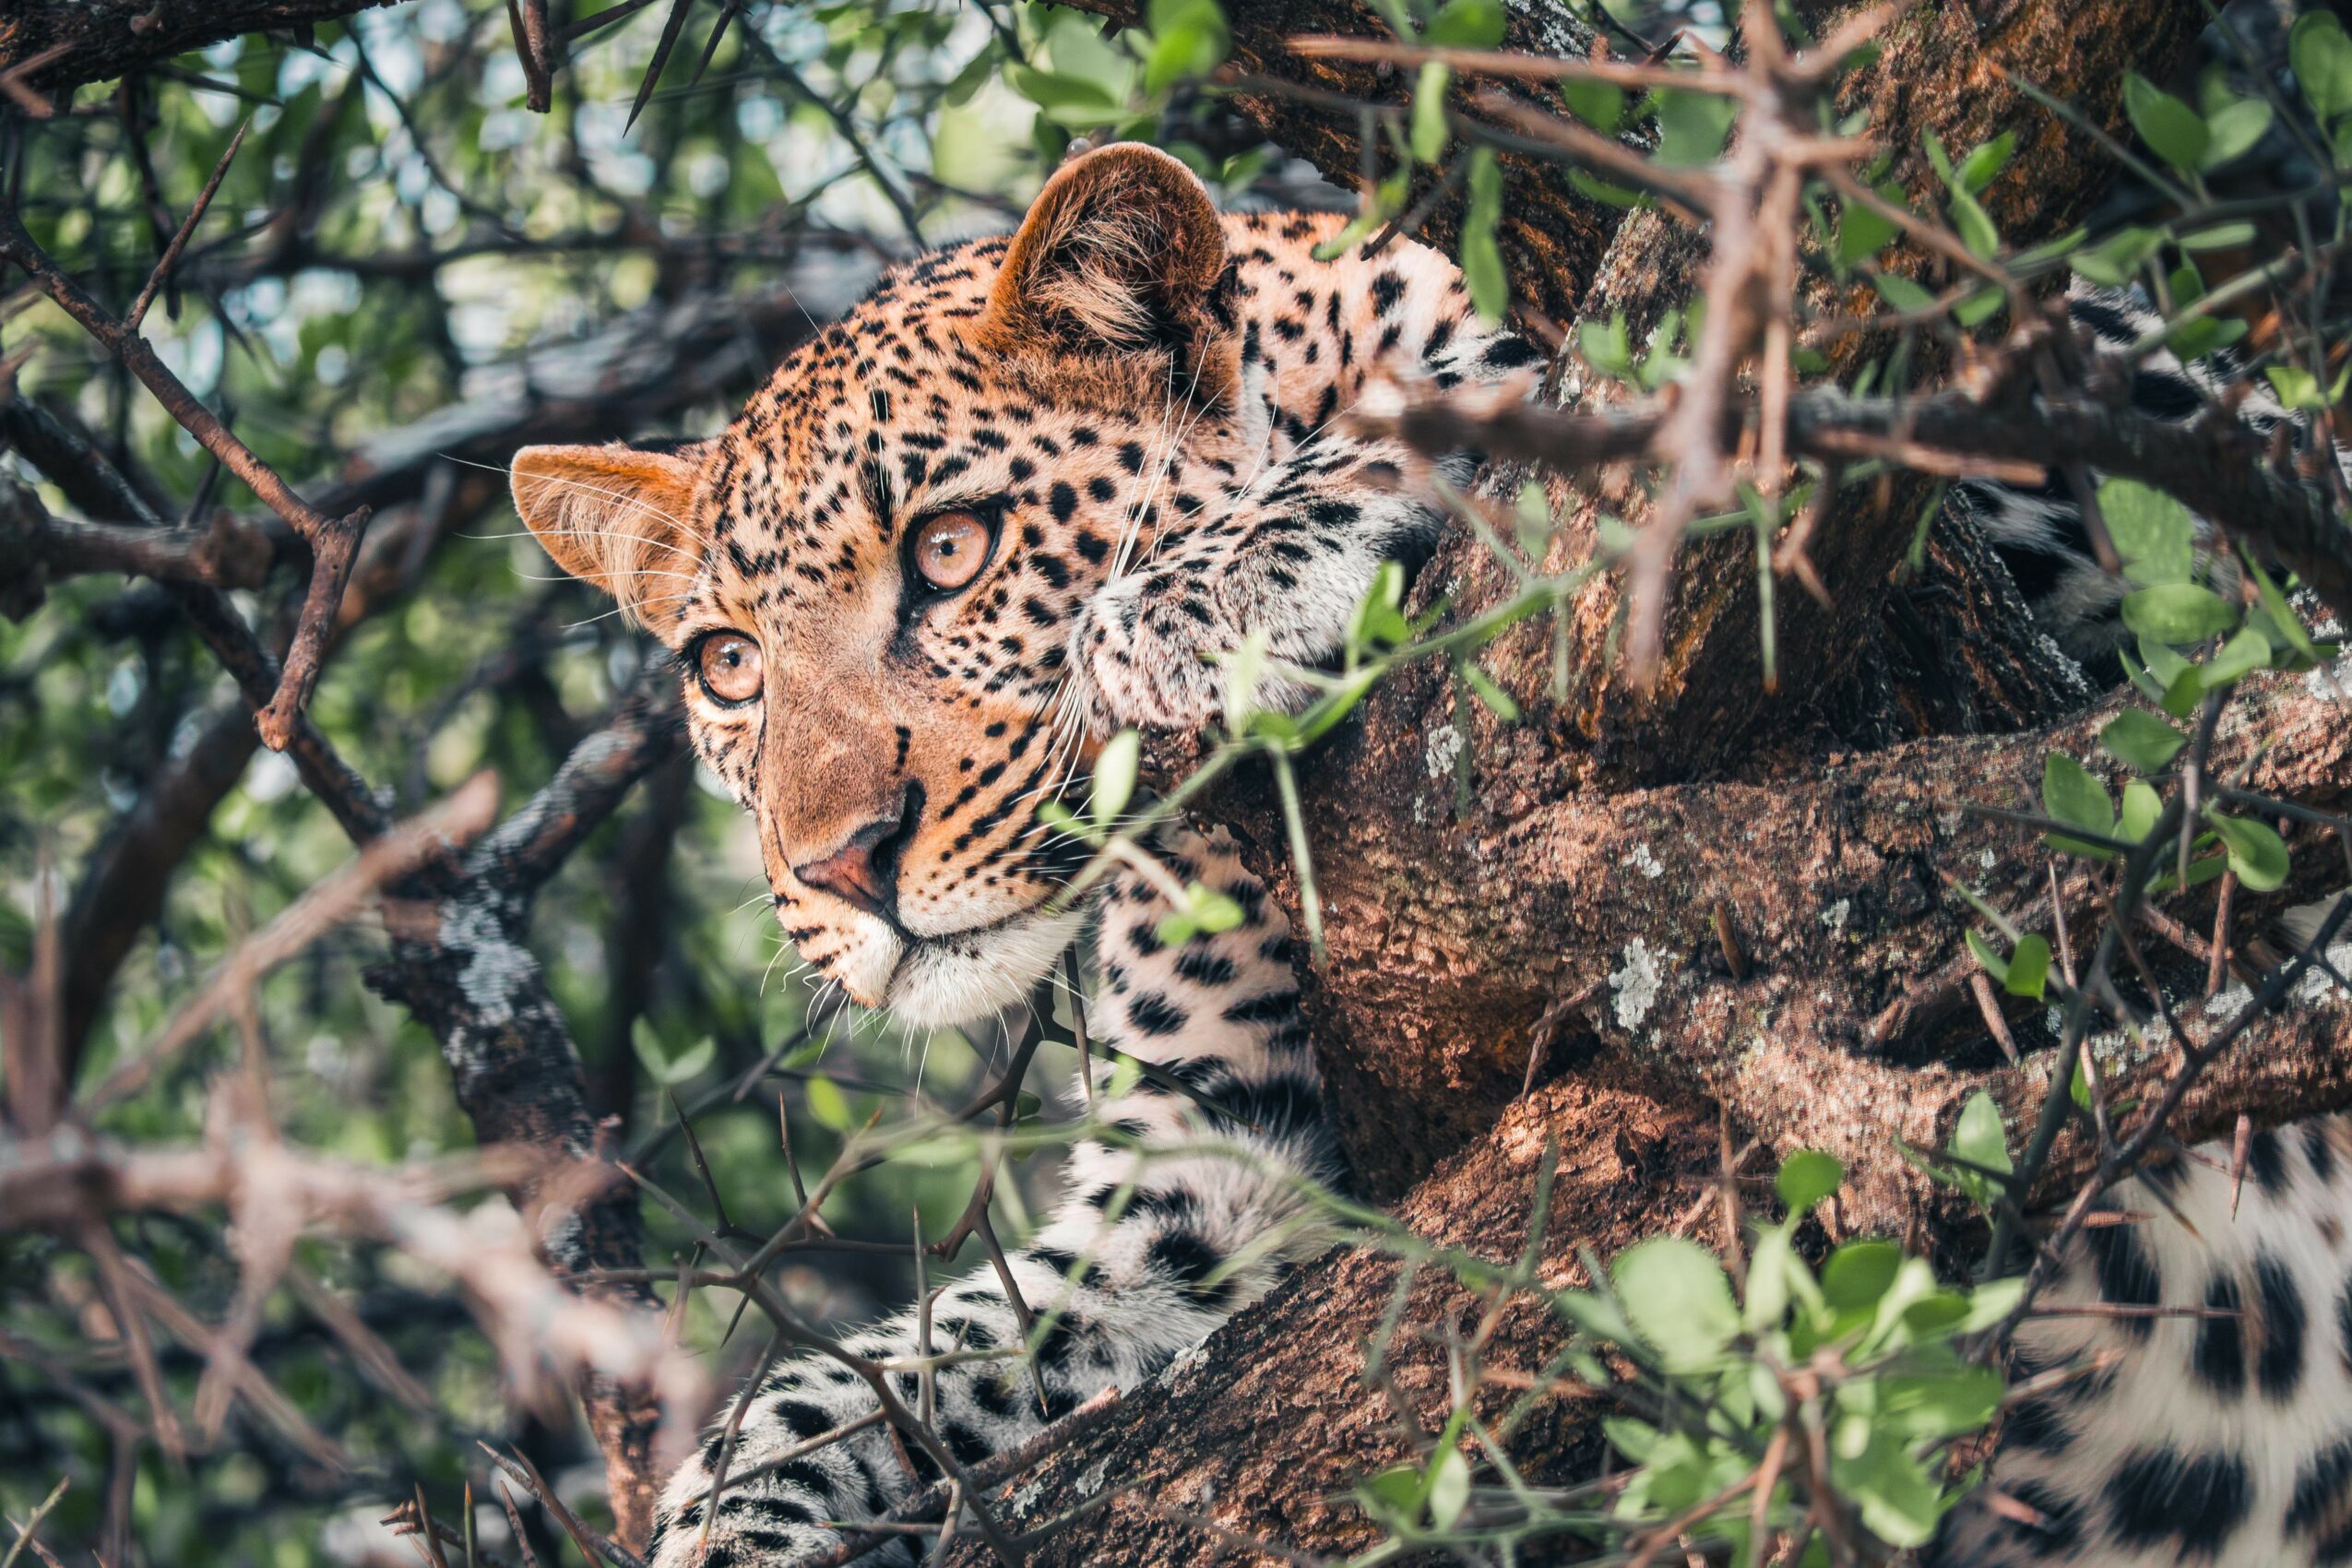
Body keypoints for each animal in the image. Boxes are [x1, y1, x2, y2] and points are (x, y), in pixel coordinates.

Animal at [511, 142, 2352, 1567]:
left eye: (954, 553)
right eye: (725, 667)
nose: (843, 872)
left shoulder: (2121, 519)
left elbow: (1547, 378)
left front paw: (1214, 582)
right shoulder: (1207, 1186)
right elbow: (862, 1372)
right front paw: (728, 1513)